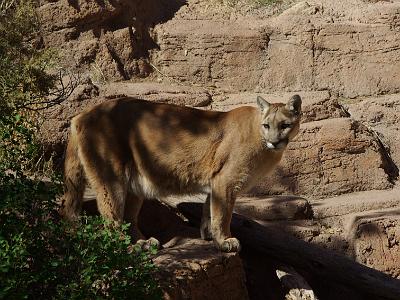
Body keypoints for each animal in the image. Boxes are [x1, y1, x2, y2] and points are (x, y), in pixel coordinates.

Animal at [61, 95, 300, 252]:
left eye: (285, 125)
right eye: (267, 125)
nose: (274, 141)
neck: (260, 139)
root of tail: (81, 115)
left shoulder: (217, 182)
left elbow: (209, 209)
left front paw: (208, 236)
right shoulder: (227, 180)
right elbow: (223, 213)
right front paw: (224, 241)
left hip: (133, 182)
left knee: (127, 218)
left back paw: (143, 243)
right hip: (111, 178)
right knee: (112, 218)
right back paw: (128, 248)